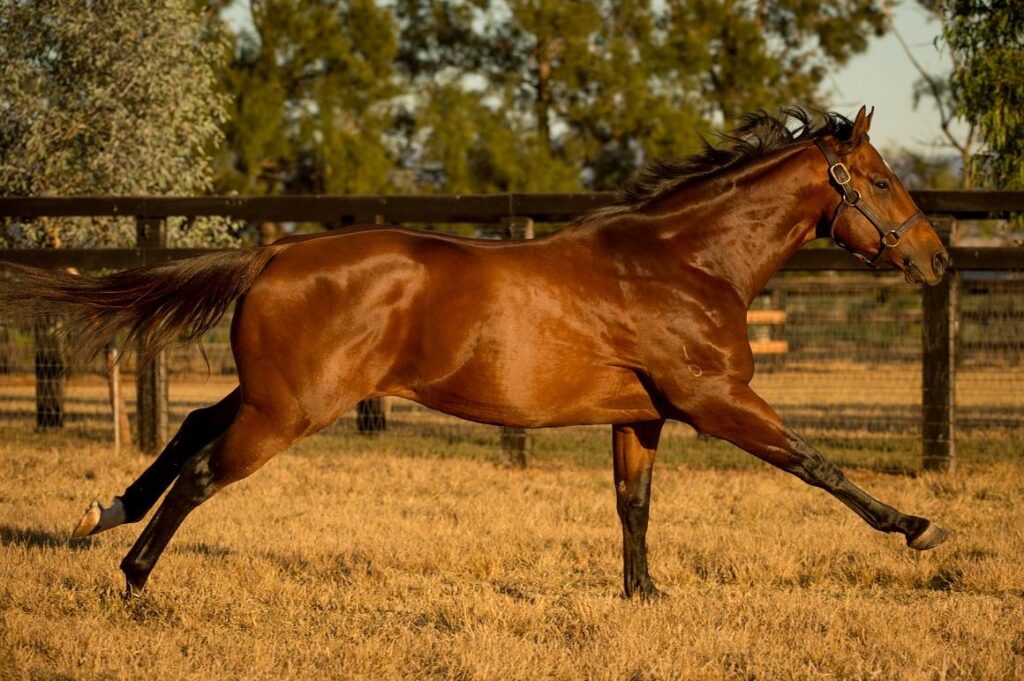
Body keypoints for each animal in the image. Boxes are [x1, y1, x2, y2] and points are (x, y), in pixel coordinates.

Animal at [0, 107, 951, 599]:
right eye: (879, 181)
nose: (937, 258)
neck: (684, 262)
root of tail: (273, 255)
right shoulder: (717, 402)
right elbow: (817, 465)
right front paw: (918, 529)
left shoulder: (641, 417)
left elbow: (633, 506)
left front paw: (643, 594)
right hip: (288, 410)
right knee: (201, 471)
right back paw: (133, 576)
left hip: (270, 396)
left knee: (191, 424)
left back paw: (101, 514)